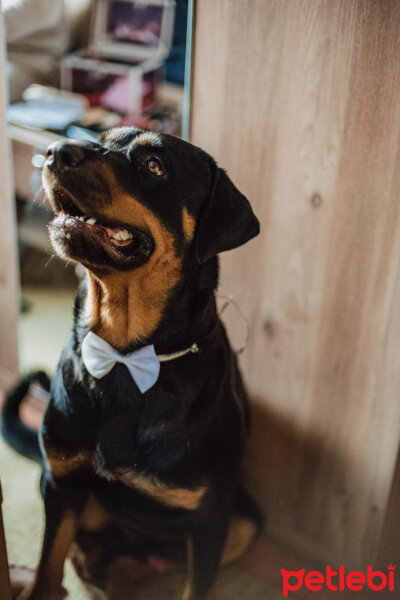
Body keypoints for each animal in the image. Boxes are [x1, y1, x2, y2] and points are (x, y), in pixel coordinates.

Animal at [4, 127, 260, 600]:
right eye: (98, 139)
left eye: (153, 166)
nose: (55, 151)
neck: (125, 356)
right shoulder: (63, 481)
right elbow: (48, 565)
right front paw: (40, 583)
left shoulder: (210, 521)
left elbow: (197, 585)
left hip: (244, 521)